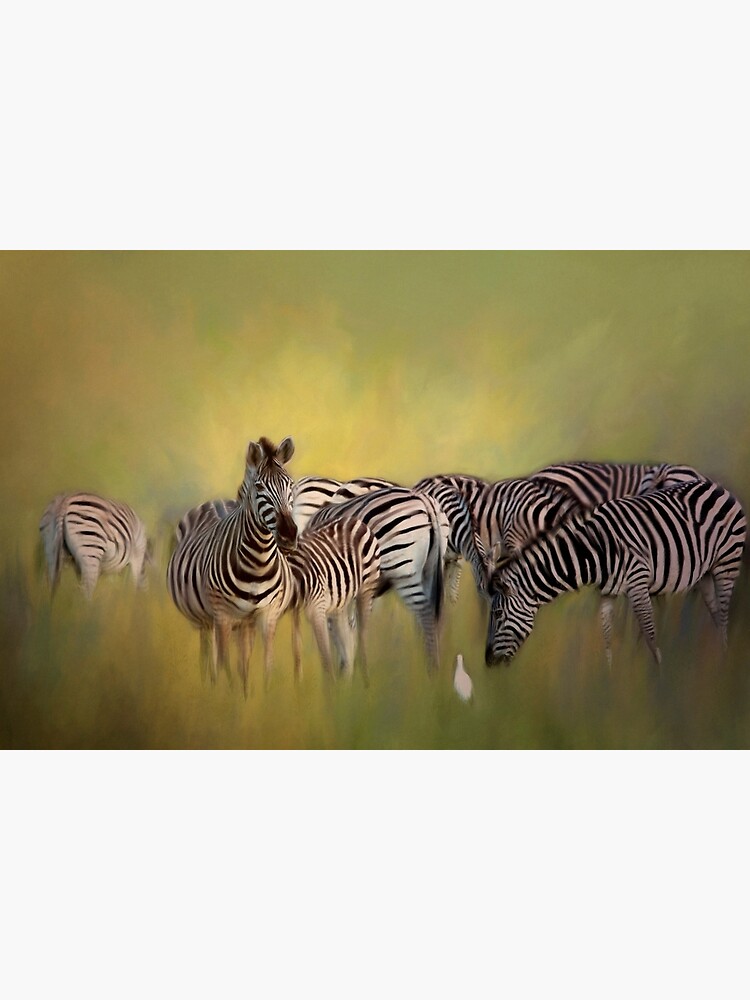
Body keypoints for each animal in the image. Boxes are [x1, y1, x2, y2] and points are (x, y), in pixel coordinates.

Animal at [166, 436, 298, 695]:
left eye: (290, 485)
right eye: (259, 488)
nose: (289, 535)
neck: (258, 563)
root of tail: (216, 501)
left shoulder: (267, 615)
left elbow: (264, 666)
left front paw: (260, 697)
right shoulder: (223, 616)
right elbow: (225, 666)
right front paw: (227, 700)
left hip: (243, 623)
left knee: (240, 660)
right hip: (207, 620)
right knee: (210, 657)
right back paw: (211, 687)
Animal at [287, 517, 381, 680]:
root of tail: (353, 519)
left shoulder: (316, 608)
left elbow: (325, 654)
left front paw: (329, 684)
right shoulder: (295, 610)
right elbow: (297, 649)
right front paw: (298, 683)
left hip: (366, 588)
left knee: (361, 636)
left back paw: (365, 681)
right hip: (340, 601)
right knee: (348, 637)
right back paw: (347, 681)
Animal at [307, 486, 449, 671]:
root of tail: (424, 500)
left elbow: (341, 633)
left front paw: (347, 672)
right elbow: (349, 631)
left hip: (403, 570)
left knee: (425, 611)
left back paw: (432, 670)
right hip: (431, 569)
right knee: (436, 617)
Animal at [485, 479, 747, 668]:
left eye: (497, 614)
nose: (488, 662)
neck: (591, 549)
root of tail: (716, 486)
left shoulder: (638, 584)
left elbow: (650, 637)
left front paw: (657, 679)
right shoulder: (607, 593)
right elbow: (608, 640)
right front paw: (610, 685)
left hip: (727, 564)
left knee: (724, 616)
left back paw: (723, 663)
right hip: (705, 574)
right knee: (716, 615)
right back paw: (717, 658)